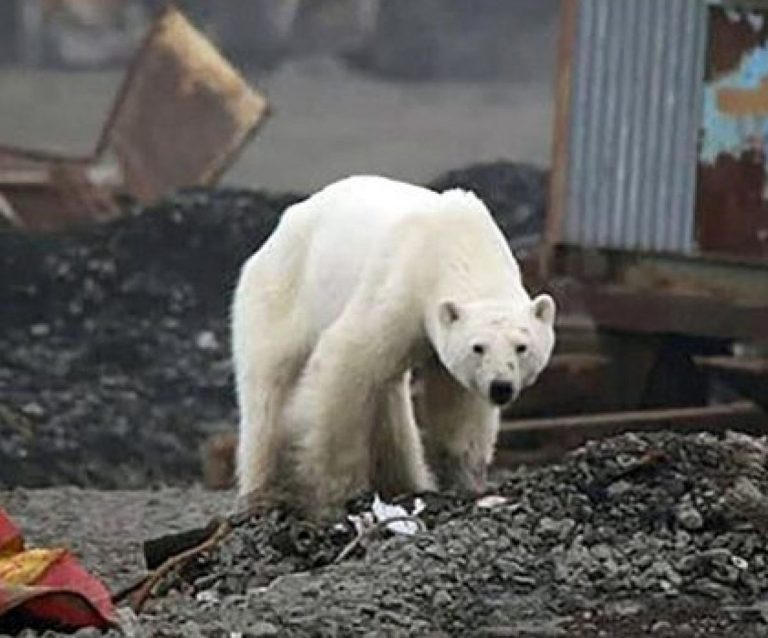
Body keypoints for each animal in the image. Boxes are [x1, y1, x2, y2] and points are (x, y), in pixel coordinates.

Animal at [231, 178, 556, 516]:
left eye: (521, 347)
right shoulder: (400, 287)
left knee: (389, 398)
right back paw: (262, 491)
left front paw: (466, 480)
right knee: (269, 389)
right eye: (478, 347)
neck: (459, 244)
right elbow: (345, 361)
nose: (500, 387)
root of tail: (277, 232)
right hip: (280, 293)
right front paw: (341, 491)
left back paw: (406, 483)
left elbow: (458, 401)